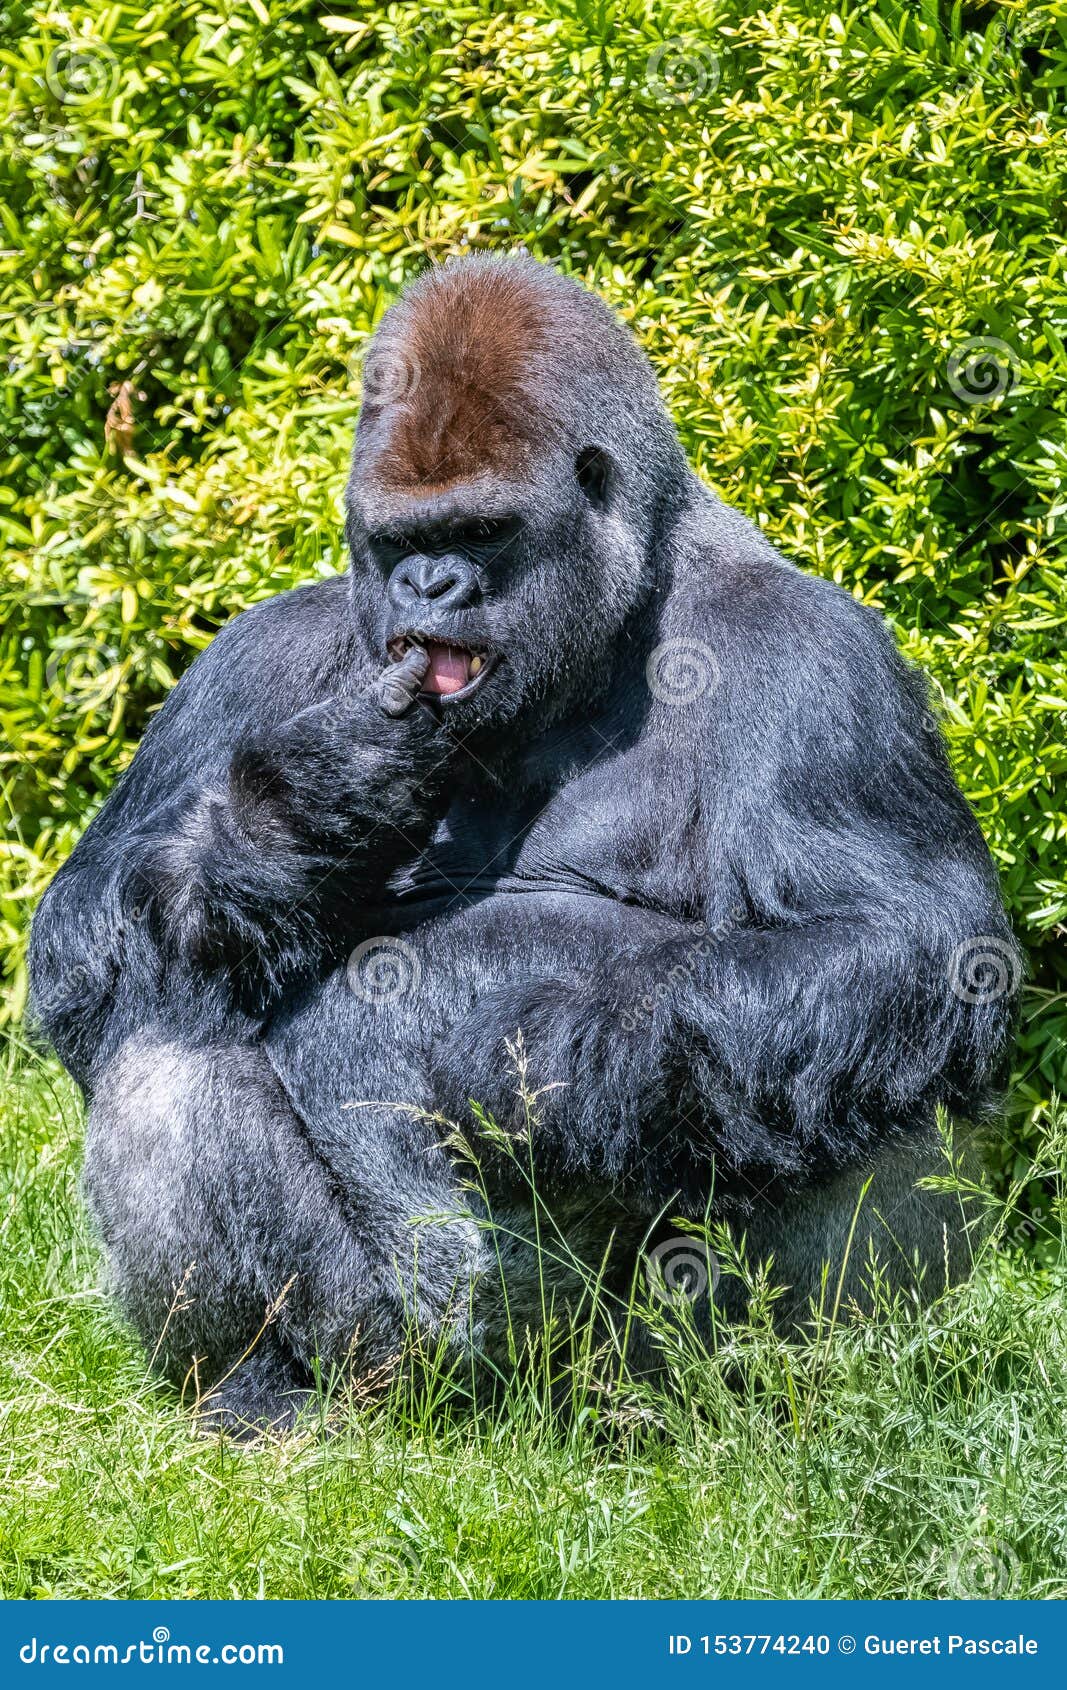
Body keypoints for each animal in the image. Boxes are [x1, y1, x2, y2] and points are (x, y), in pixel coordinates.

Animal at [29, 256, 1021, 1433]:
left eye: (483, 532)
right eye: (402, 541)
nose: (428, 587)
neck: (618, 615)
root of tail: (506, 1419)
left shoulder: (820, 658)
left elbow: (900, 940)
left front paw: (544, 1063)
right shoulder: (255, 653)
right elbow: (83, 939)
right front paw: (286, 829)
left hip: (614, 1370)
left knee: (857, 1064)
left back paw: (784, 1401)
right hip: (401, 1364)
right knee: (166, 1045)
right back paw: (260, 1389)